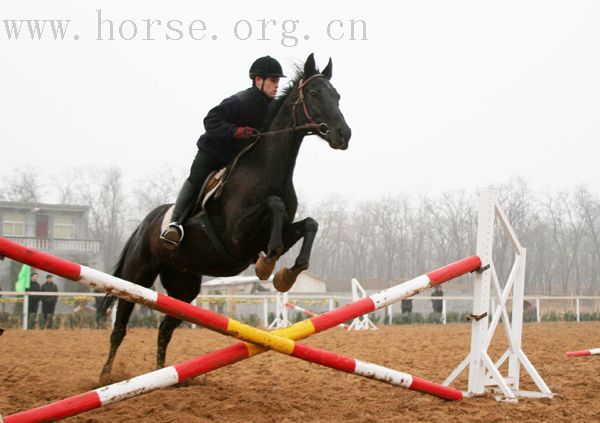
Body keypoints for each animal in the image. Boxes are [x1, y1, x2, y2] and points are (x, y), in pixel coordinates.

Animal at [98, 53, 352, 380]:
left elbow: (309, 224)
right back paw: (106, 375)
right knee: (120, 324)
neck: (270, 170)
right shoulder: (238, 236)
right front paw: (268, 263)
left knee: (166, 327)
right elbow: (274, 206)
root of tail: (145, 223)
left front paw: (286, 274)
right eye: (314, 93)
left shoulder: (275, 232)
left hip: (185, 285)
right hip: (138, 275)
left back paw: (167, 375)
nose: (343, 135)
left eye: (337, 95)